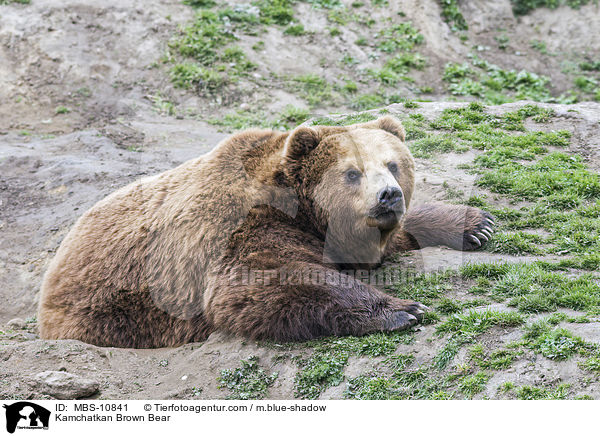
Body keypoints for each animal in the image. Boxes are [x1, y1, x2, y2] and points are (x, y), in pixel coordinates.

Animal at [39, 116, 494, 348]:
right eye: (352, 172)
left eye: (393, 164)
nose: (388, 195)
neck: (304, 211)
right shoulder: (246, 227)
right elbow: (260, 282)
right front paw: (403, 308)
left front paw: (476, 224)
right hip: (110, 311)